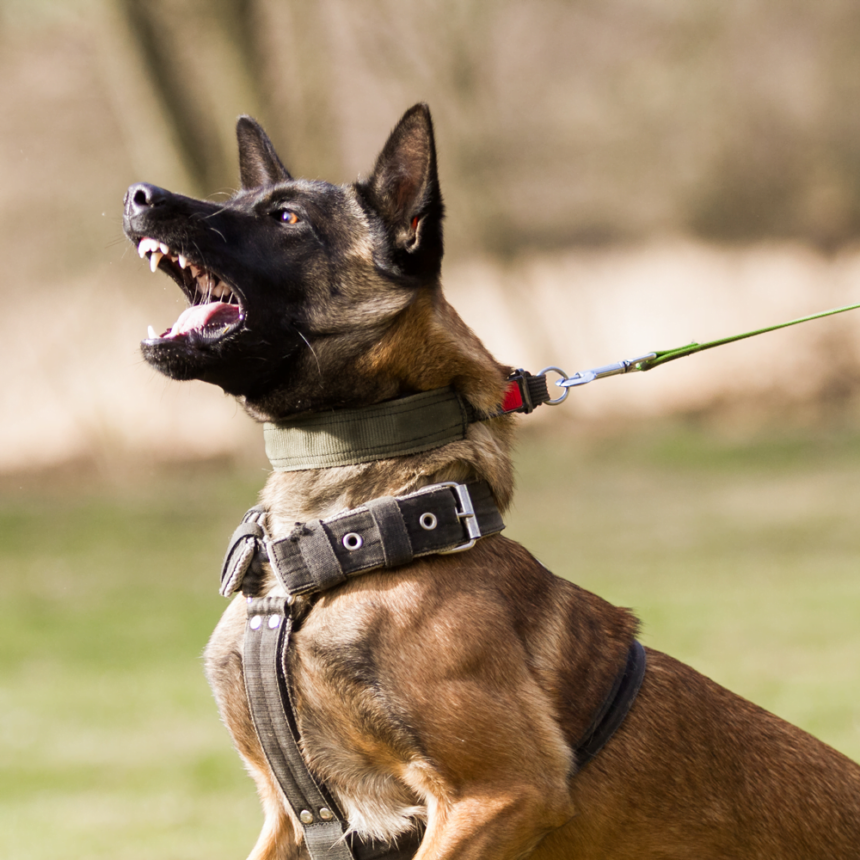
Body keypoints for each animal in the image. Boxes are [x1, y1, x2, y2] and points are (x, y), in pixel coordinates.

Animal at [122, 104, 860, 856]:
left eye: (288, 218)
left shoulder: (500, 792)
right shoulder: (290, 816)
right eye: (242, 200)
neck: (335, 540)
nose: (139, 195)